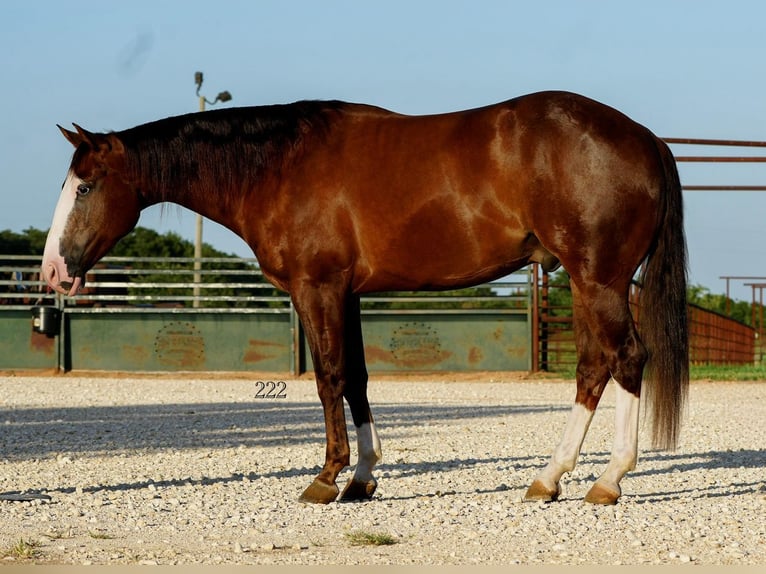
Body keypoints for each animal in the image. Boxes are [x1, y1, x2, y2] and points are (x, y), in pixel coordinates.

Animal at [41, 90, 688, 505]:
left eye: (86, 186)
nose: (53, 270)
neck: (278, 167)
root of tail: (646, 139)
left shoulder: (317, 287)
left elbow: (328, 376)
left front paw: (327, 478)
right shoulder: (346, 294)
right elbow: (355, 377)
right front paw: (363, 478)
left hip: (599, 279)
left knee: (627, 359)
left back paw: (608, 480)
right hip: (585, 283)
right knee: (593, 368)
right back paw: (549, 479)